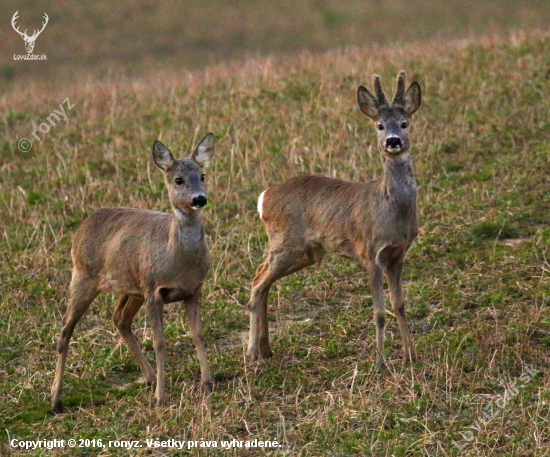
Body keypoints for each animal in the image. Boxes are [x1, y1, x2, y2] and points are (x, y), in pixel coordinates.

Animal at [51, 134, 216, 412]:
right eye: (178, 179)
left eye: (203, 175)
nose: (199, 199)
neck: (176, 259)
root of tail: (83, 225)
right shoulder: (153, 289)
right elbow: (160, 342)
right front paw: (161, 397)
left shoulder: (193, 289)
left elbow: (198, 334)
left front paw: (207, 384)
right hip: (83, 275)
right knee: (65, 330)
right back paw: (55, 399)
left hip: (131, 287)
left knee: (119, 319)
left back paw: (150, 377)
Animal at [248, 72, 424, 366]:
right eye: (379, 125)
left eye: (404, 123)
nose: (393, 141)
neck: (389, 208)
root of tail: (264, 198)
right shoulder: (370, 253)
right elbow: (379, 313)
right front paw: (380, 364)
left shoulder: (398, 254)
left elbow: (399, 305)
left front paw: (411, 355)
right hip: (285, 243)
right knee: (257, 281)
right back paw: (251, 353)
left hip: (305, 252)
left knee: (264, 282)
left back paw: (265, 349)